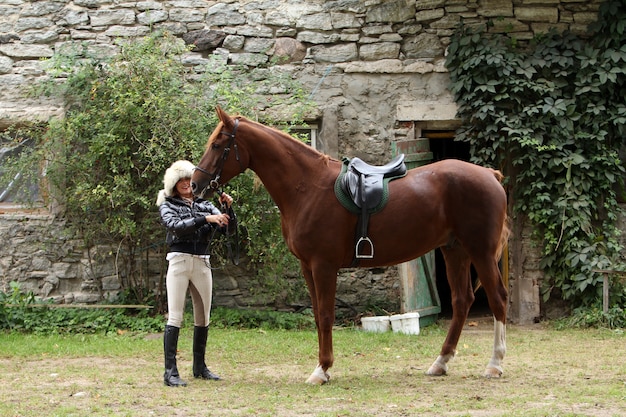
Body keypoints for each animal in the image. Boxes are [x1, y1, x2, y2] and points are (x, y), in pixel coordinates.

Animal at [193, 106, 510, 384]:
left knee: (497, 299)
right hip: (455, 250)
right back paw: (440, 363)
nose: (196, 185)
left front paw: (321, 370)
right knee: (461, 301)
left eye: (218, 145)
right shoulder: (307, 267)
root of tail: (490, 175)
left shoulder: (323, 265)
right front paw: (322, 367)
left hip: (480, 252)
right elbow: (318, 316)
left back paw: (494, 365)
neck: (307, 187)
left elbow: (325, 314)